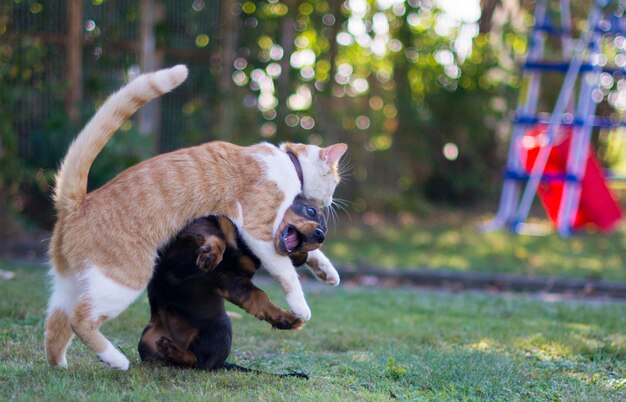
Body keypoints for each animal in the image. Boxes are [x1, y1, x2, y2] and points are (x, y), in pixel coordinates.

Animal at [44, 65, 346, 370]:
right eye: (314, 208)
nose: (322, 228)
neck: (287, 163)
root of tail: (78, 203)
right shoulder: (257, 228)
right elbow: (286, 272)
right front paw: (301, 307)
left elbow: (300, 260)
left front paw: (327, 272)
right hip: (124, 280)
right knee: (80, 319)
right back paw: (115, 359)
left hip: (70, 284)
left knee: (56, 324)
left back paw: (60, 365)